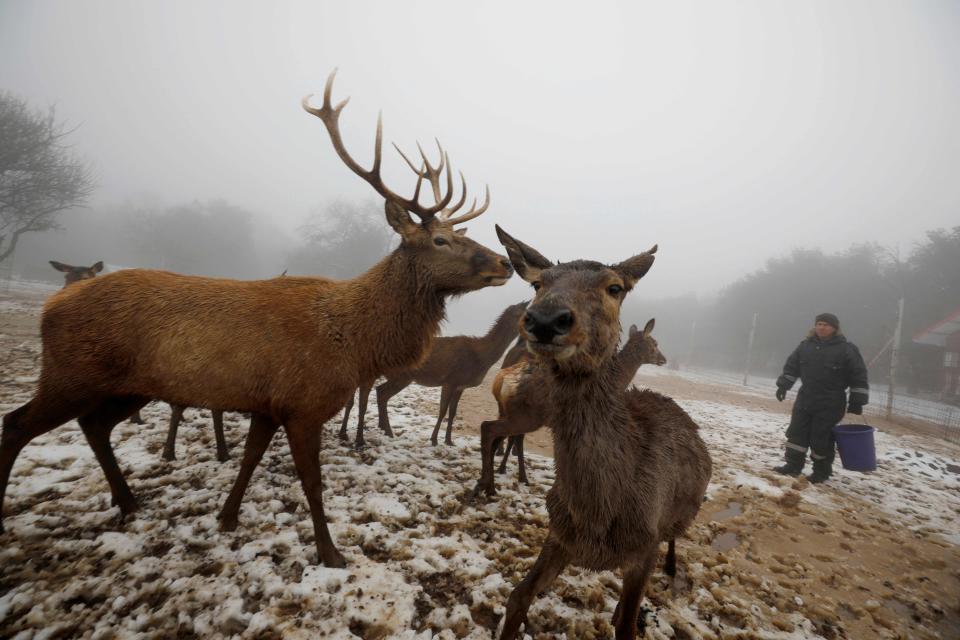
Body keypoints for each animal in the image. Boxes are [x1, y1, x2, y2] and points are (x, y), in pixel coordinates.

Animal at [492, 228, 708, 636]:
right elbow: (517, 596)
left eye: (615, 287)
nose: (546, 319)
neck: (596, 517)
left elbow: (626, 627)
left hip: (679, 517)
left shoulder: (644, 548)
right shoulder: (559, 534)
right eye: (537, 283)